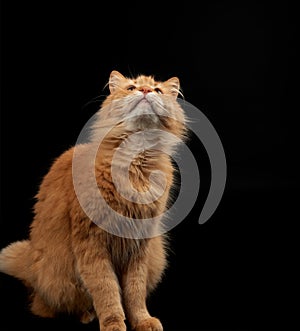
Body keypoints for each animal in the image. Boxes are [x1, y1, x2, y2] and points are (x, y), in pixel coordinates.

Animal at [0, 70, 186, 331]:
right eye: (131, 88)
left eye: (157, 90)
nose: (145, 91)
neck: (135, 165)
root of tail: (30, 262)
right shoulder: (91, 243)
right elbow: (106, 289)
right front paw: (113, 323)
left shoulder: (140, 247)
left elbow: (135, 292)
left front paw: (142, 320)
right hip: (58, 279)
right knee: (48, 306)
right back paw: (87, 315)